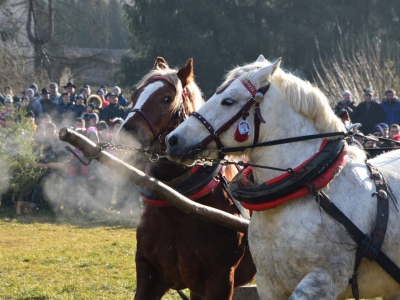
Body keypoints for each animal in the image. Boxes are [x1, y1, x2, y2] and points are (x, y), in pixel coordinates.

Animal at [115, 57, 255, 298]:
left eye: (166, 98)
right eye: (134, 96)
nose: (126, 133)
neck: (180, 203)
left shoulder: (220, 280)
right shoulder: (149, 273)